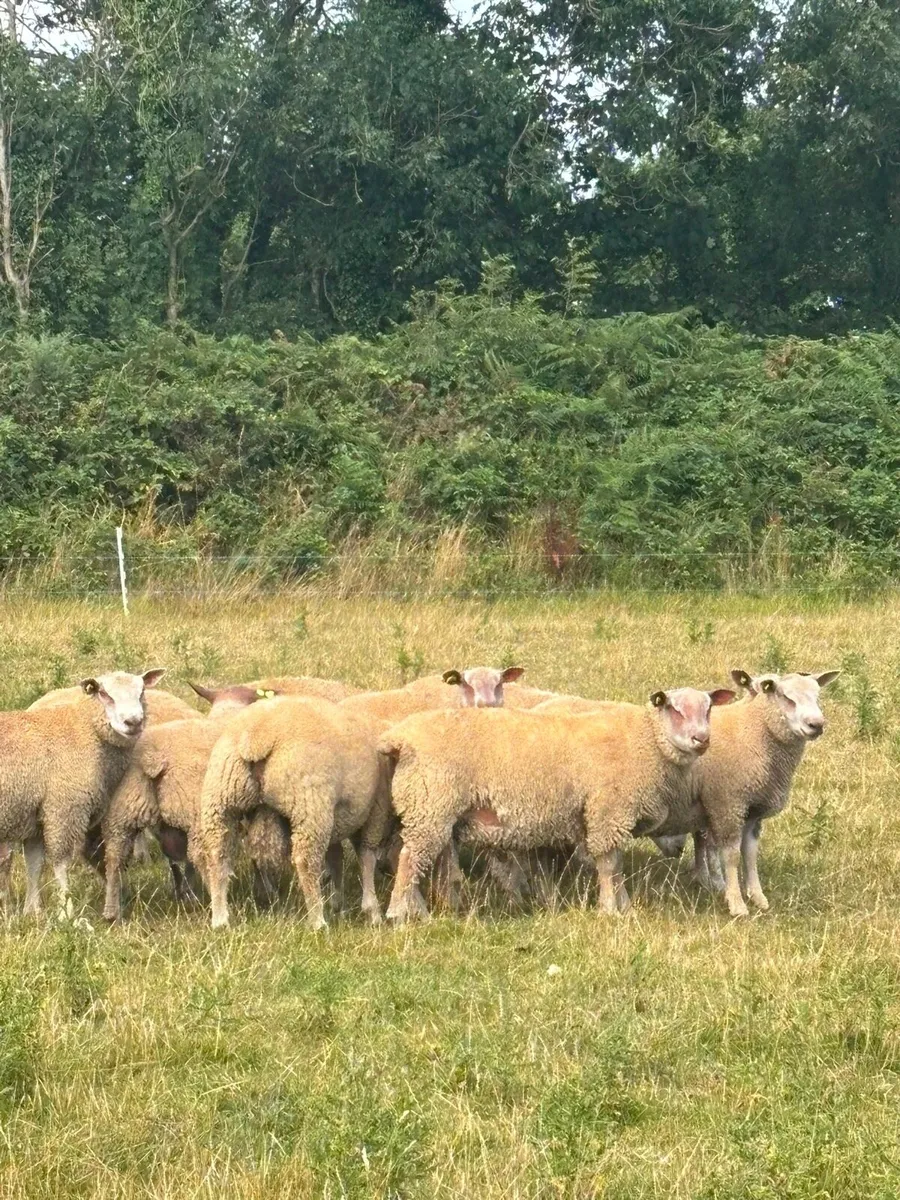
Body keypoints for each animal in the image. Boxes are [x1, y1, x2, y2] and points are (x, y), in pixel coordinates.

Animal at [0, 669, 165, 916]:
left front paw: (33, 910)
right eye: (104, 694)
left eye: (142, 691)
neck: (85, 729)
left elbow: (34, 864)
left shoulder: (36, 816)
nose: (133, 722)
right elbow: (61, 863)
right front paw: (65, 912)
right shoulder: (64, 809)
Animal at [100, 683, 279, 921]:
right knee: (208, 858)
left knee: (114, 857)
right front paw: (267, 890)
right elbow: (256, 852)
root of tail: (154, 758)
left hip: (124, 809)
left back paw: (112, 912)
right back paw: (221, 914)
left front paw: (186, 891)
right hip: (202, 813)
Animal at [199, 696, 391, 929]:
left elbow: (336, 857)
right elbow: (366, 857)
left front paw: (339, 904)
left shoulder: (337, 818)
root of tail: (257, 735)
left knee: (217, 854)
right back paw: (318, 921)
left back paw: (220, 919)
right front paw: (372, 911)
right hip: (311, 805)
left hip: (221, 797)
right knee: (306, 860)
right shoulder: (375, 812)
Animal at [380, 685, 735, 923]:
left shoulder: (610, 816)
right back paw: (399, 915)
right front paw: (610, 910)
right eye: (675, 709)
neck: (644, 741)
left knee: (421, 859)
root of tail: (399, 738)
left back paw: (425, 910)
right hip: (430, 806)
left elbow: (617, 865)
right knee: (409, 859)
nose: (702, 739)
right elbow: (609, 865)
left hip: (433, 812)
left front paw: (623, 905)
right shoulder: (607, 812)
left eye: (708, 709)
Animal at [684, 668, 839, 917]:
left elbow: (750, 854)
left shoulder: (753, 811)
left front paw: (757, 897)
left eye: (818, 696)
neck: (752, 730)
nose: (816, 724)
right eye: (786, 697)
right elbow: (732, 855)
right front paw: (736, 903)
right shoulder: (728, 804)